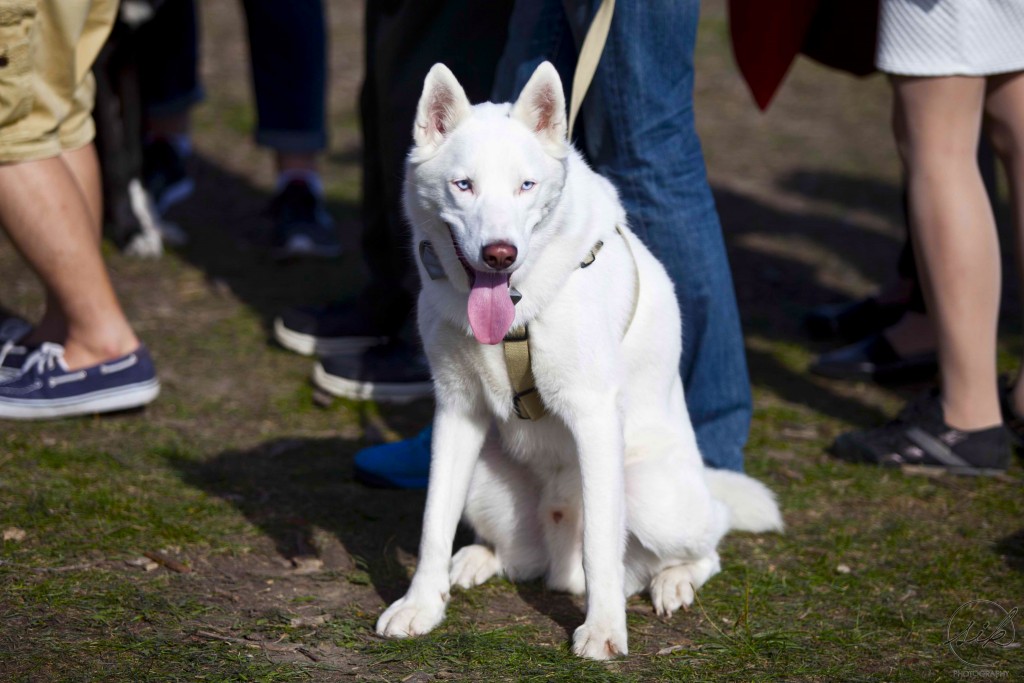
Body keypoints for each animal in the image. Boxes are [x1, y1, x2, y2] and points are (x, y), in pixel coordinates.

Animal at [376, 61, 782, 659]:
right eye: (463, 184)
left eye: (526, 186)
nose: (500, 254)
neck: (519, 305)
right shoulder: (456, 410)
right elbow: (433, 523)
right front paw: (421, 606)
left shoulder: (593, 415)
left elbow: (600, 546)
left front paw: (605, 630)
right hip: (484, 479)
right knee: (519, 559)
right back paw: (476, 560)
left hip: (652, 498)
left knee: (703, 545)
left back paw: (674, 581)